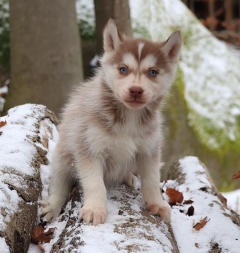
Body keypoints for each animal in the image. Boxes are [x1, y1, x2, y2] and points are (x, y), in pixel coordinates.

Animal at [42, 19, 182, 225]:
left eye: (153, 72)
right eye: (123, 69)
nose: (136, 90)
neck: (130, 117)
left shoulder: (149, 150)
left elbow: (151, 180)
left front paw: (157, 204)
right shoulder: (89, 149)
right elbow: (95, 184)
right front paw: (95, 209)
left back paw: (128, 177)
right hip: (62, 157)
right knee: (60, 184)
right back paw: (52, 206)